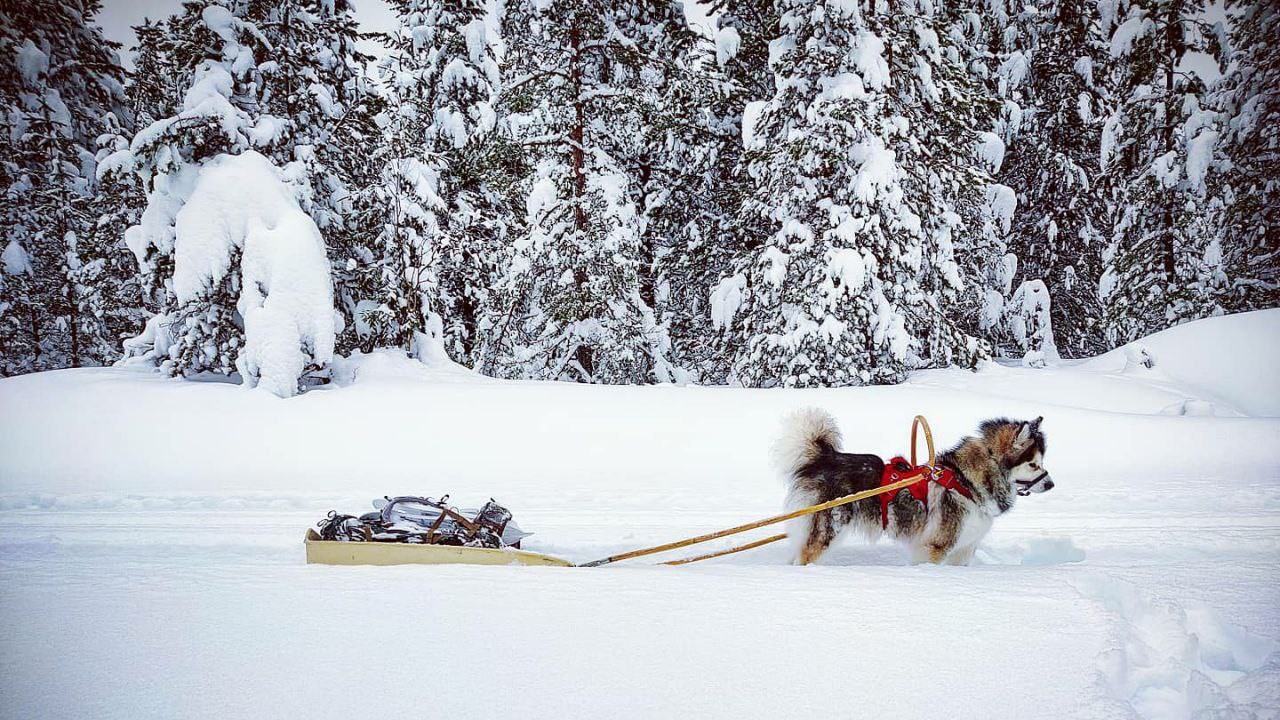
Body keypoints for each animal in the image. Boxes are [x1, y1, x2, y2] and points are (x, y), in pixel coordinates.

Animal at [773, 407, 1054, 563]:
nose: (1051, 484)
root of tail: (823, 457)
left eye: (1042, 462)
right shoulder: (935, 548)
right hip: (827, 531)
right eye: (1033, 464)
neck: (966, 481)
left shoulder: (963, 549)